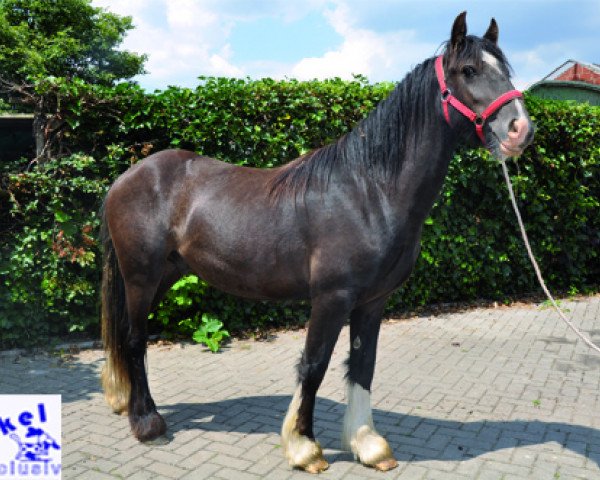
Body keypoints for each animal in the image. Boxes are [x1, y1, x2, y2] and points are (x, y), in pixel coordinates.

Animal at [102, 11, 536, 472]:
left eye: (505, 69)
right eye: (469, 70)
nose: (520, 129)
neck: (370, 190)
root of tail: (126, 178)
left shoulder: (372, 301)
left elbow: (362, 365)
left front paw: (368, 445)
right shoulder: (332, 297)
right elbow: (314, 365)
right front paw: (304, 446)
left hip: (163, 274)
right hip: (141, 276)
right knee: (135, 339)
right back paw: (146, 422)